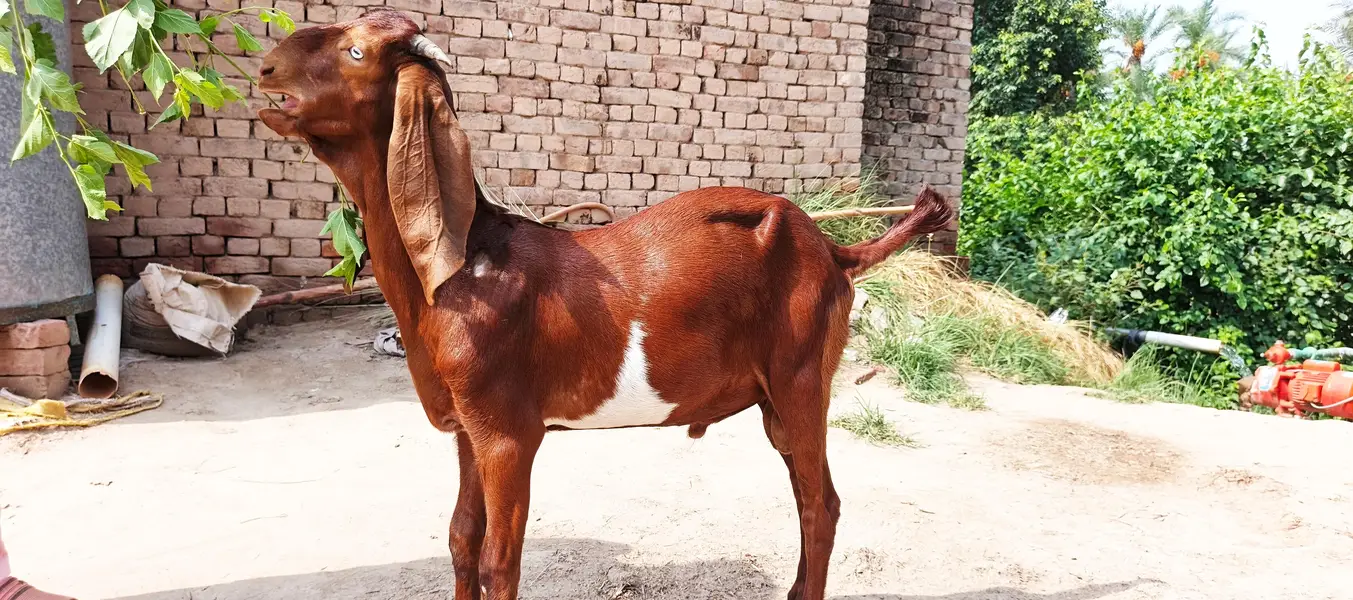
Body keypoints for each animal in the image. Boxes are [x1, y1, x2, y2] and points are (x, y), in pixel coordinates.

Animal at [256, 12, 953, 600]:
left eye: (355, 51)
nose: (264, 68)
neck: (467, 263)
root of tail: (833, 250)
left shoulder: (509, 433)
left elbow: (499, 562)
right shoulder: (467, 430)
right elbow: (460, 539)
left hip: (801, 378)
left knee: (820, 504)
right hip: (775, 400)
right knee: (809, 497)